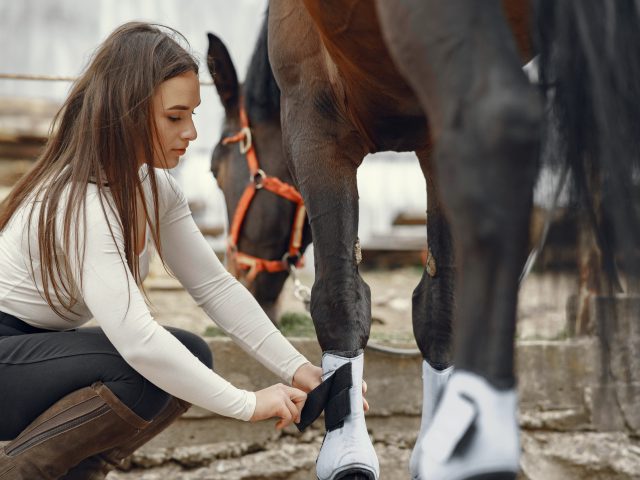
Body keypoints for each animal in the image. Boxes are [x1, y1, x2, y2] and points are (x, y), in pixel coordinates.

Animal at [209, 1, 640, 479]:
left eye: (215, 168)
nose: (241, 277)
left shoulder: (311, 111)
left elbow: (340, 296)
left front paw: (348, 452)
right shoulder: (434, 139)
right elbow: (440, 308)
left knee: (495, 124)